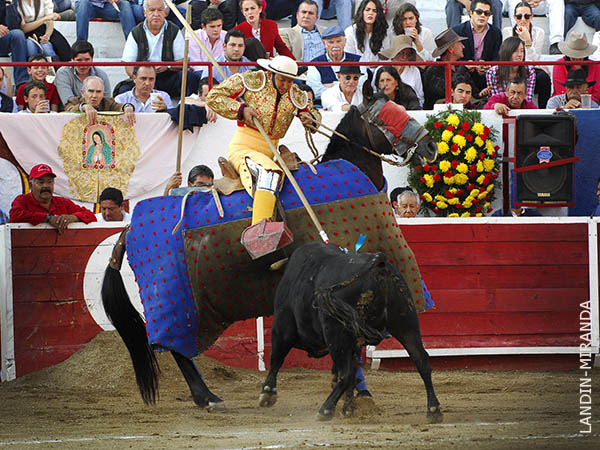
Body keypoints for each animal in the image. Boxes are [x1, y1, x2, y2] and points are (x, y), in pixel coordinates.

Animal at [260, 243, 442, 422]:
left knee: (345, 373)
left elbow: (276, 359)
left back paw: (325, 410)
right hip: (406, 324)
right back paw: (434, 410)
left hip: (336, 334)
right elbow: (355, 371)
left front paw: (267, 393)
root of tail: (379, 263)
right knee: (421, 360)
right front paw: (348, 408)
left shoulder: (281, 329)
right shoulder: (356, 343)